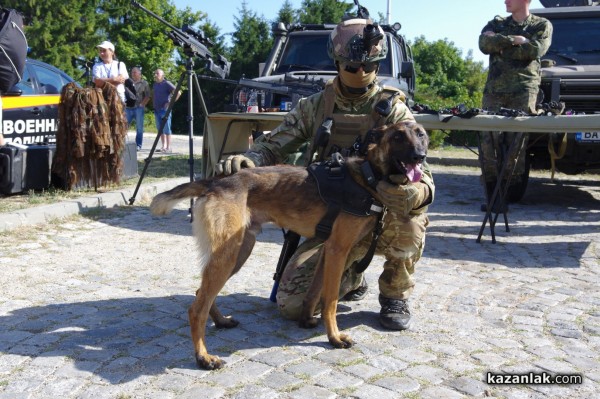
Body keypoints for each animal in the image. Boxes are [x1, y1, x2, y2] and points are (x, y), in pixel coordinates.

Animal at [152, 122, 428, 372]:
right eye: (398, 136)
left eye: (421, 135)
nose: (420, 156)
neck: (368, 176)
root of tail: (215, 183)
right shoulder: (338, 250)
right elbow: (330, 300)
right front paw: (334, 337)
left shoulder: (328, 251)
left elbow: (315, 292)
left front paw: (306, 320)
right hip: (228, 256)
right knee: (196, 308)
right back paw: (204, 358)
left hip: (239, 252)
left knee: (203, 293)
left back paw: (220, 321)